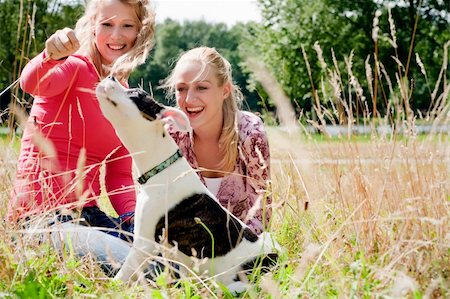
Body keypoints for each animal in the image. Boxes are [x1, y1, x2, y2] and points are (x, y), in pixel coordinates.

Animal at [96, 76, 282, 292]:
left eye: (135, 94)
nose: (111, 76)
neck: (161, 167)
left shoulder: (144, 243)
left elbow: (124, 273)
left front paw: (108, 288)